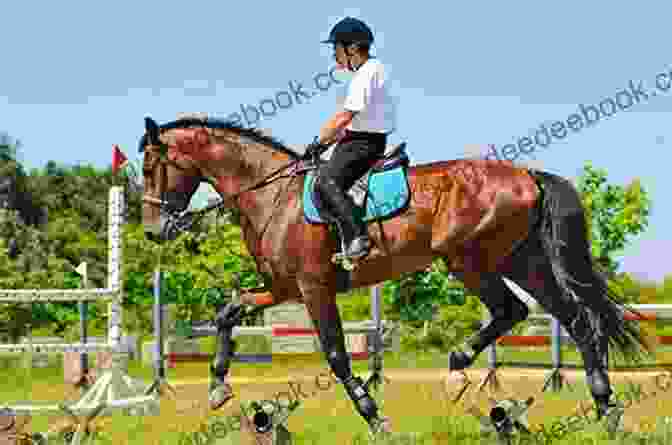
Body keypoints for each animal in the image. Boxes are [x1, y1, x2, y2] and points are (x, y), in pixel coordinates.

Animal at [140, 114, 652, 434]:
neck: (271, 196)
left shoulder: (313, 288)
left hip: (471, 258)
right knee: (571, 319)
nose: (152, 231)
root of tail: (528, 174)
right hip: (521, 261)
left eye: (151, 167)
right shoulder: (283, 288)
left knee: (515, 311)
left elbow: (336, 355)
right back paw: (603, 407)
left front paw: (373, 416)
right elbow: (228, 312)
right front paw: (217, 387)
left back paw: (460, 372)